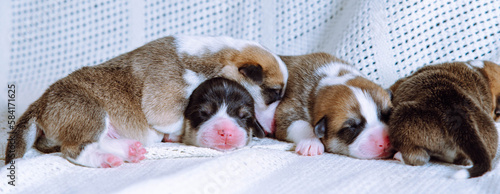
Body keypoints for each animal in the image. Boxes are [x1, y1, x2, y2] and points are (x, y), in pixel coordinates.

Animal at [5, 35, 290, 168]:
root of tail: (40, 103)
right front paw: (176, 135)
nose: (274, 128)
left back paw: (129, 149)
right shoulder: (164, 105)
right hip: (90, 112)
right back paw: (105, 160)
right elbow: (175, 121)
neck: (214, 58)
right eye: (274, 93)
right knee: (75, 149)